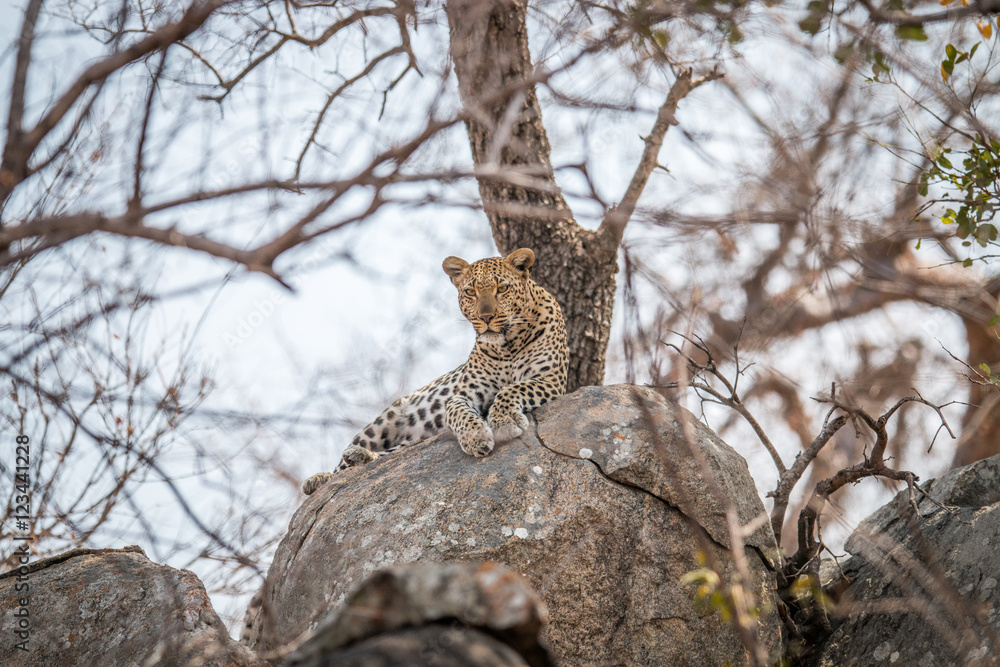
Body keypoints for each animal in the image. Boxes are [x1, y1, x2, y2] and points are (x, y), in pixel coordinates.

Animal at [302, 247, 569, 495]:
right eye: (470, 292)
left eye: (502, 289)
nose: (486, 317)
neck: (507, 345)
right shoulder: (465, 394)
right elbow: (457, 411)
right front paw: (476, 437)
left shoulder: (551, 379)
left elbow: (512, 389)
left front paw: (503, 421)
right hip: (381, 421)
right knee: (343, 468)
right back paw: (323, 476)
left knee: (395, 452)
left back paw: (359, 457)